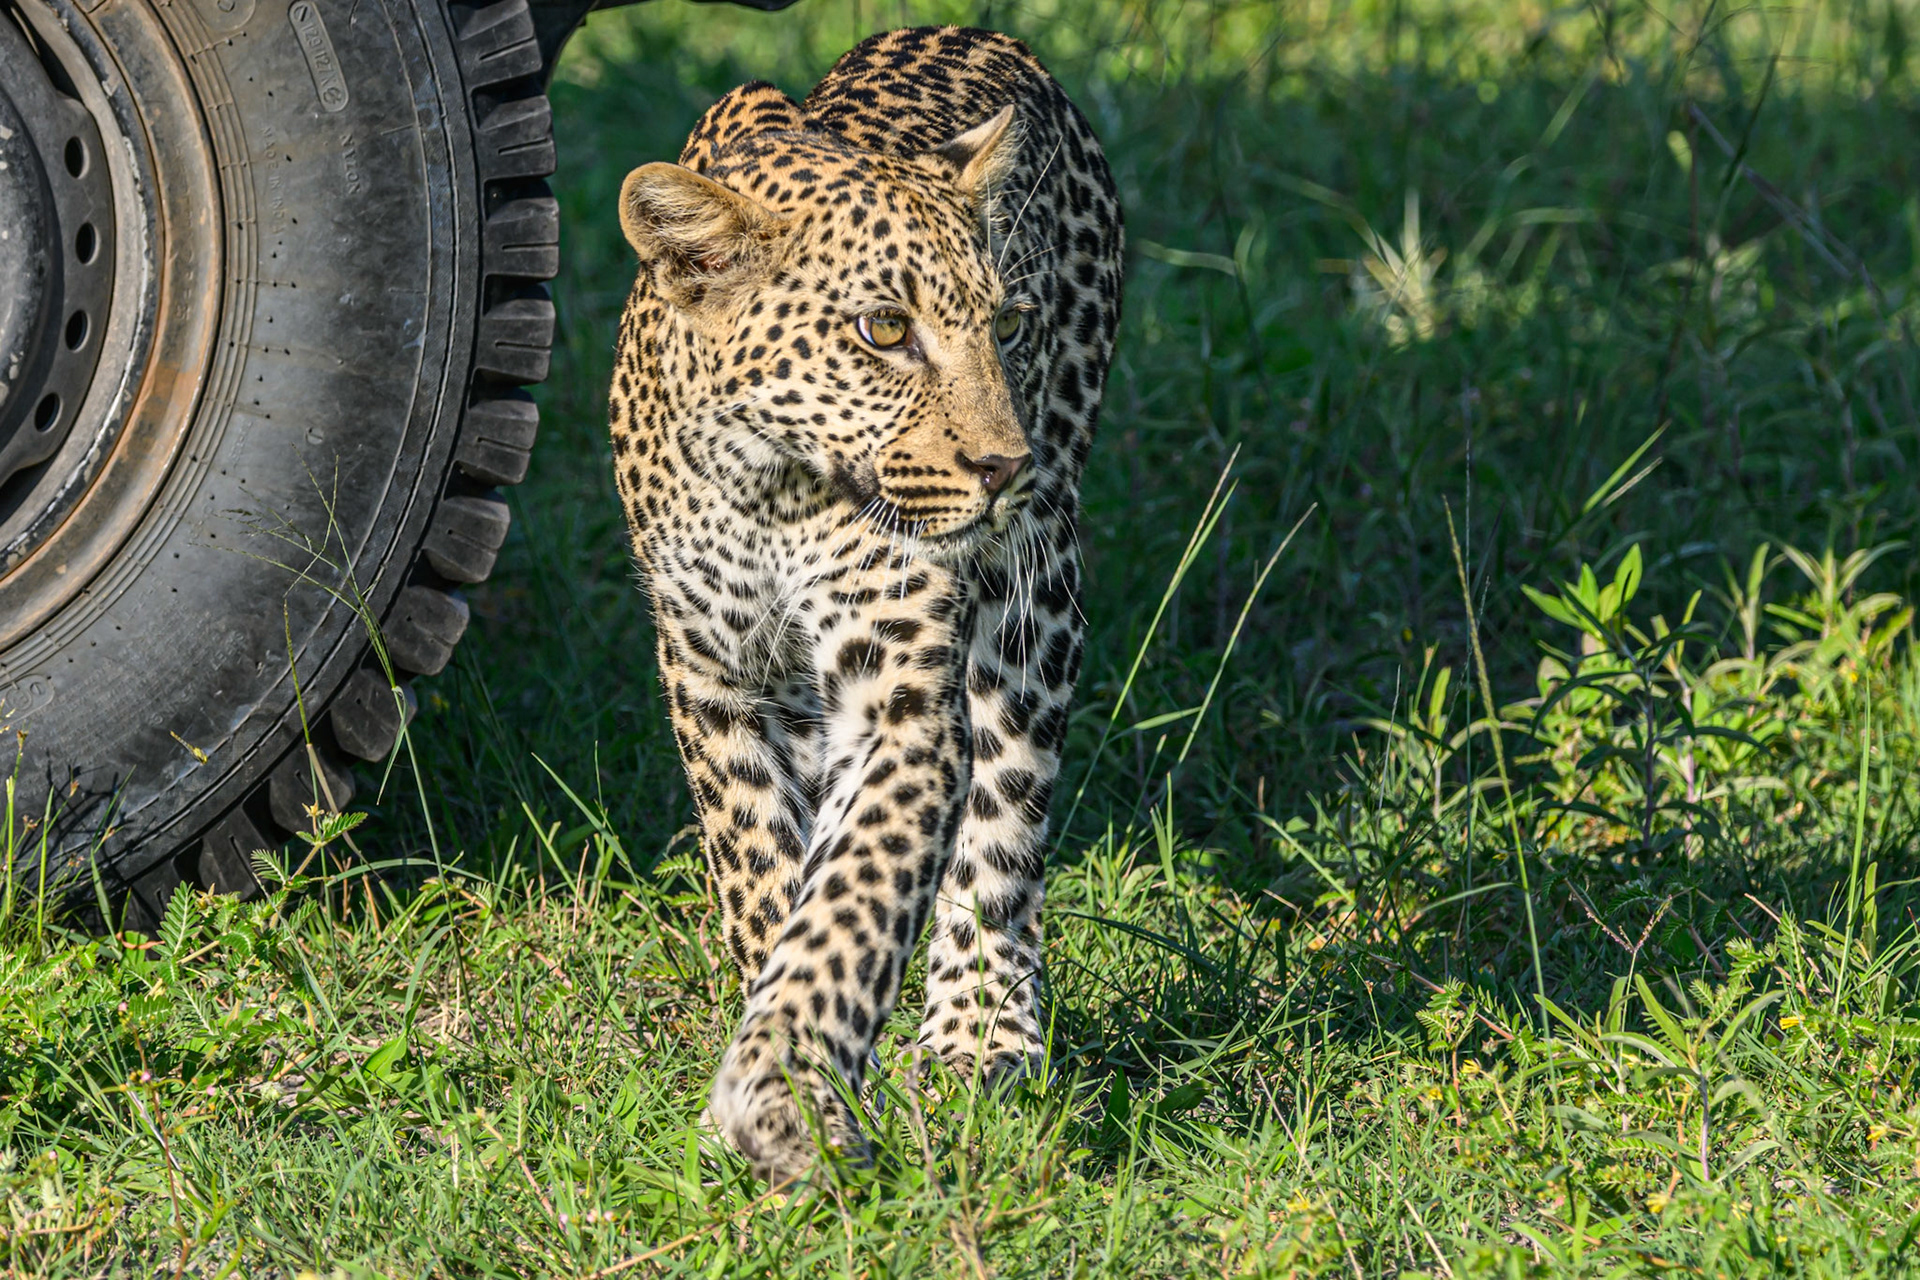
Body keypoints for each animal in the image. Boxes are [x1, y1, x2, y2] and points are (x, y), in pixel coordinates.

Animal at [606, 25, 1123, 1183]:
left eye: (1006, 323)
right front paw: (807, 1069)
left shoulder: (899, 695)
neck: (772, 484)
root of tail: (976, 30)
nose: (1003, 466)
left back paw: (979, 1035)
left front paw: (786, 1091)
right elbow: (763, 874)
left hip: (1033, 597)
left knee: (1003, 828)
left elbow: (857, 891)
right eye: (884, 329)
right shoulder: (710, 677)